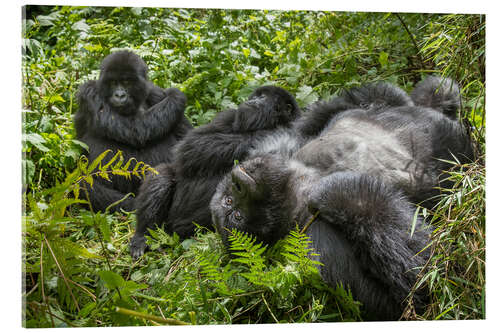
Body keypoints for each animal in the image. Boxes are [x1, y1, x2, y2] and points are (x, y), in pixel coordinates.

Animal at [75, 50, 192, 211]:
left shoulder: (155, 93)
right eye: (113, 82)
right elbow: (135, 130)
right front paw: (176, 97)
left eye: (127, 82)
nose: (119, 95)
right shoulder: (89, 91)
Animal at [130, 85, 300, 256]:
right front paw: (265, 134)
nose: (251, 101)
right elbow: (192, 145)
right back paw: (142, 235)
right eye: (256, 96)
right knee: (163, 176)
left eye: (263, 97)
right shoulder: (229, 115)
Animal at [210, 77, 472, 320]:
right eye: (236, 214)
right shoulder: (320, 245)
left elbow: (324, 113)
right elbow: (417, 287)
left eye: (228, 198)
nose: (238, 184)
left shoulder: (284, 144)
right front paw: (337, 191)